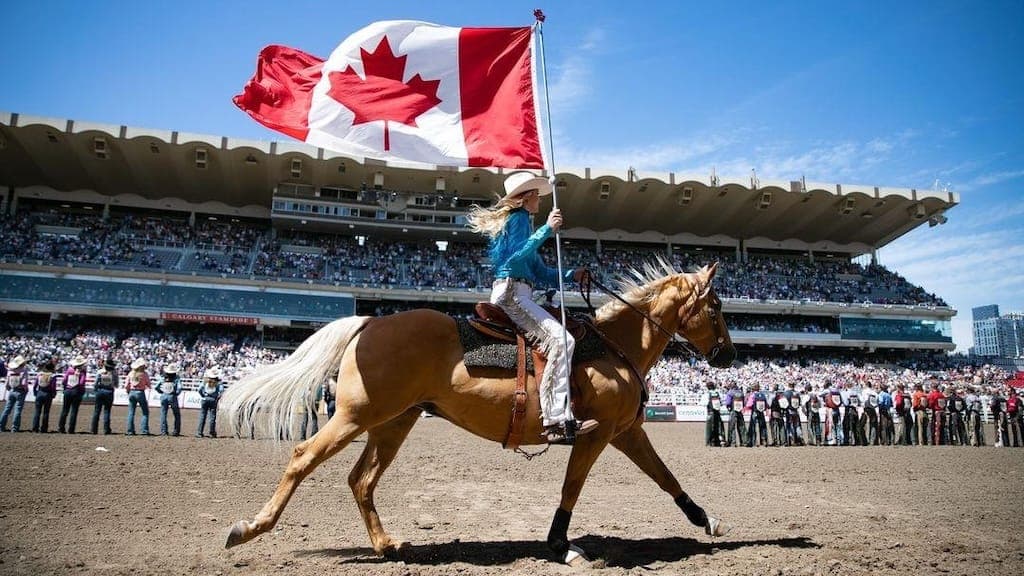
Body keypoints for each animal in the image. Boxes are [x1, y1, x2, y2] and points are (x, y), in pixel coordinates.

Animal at [224, 260, 737, 561]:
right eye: (715, 307)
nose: (728, 355)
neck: (613, 347)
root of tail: (371, 320)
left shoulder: (627, 432)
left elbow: (666, 477)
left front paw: (707, 519)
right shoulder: (596, 433)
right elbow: (572, 487)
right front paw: (561, 546)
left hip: (393, 423)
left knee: (361, 480)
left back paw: (386, 545)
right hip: (354, 416)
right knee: (303, 457)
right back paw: (250, 527)